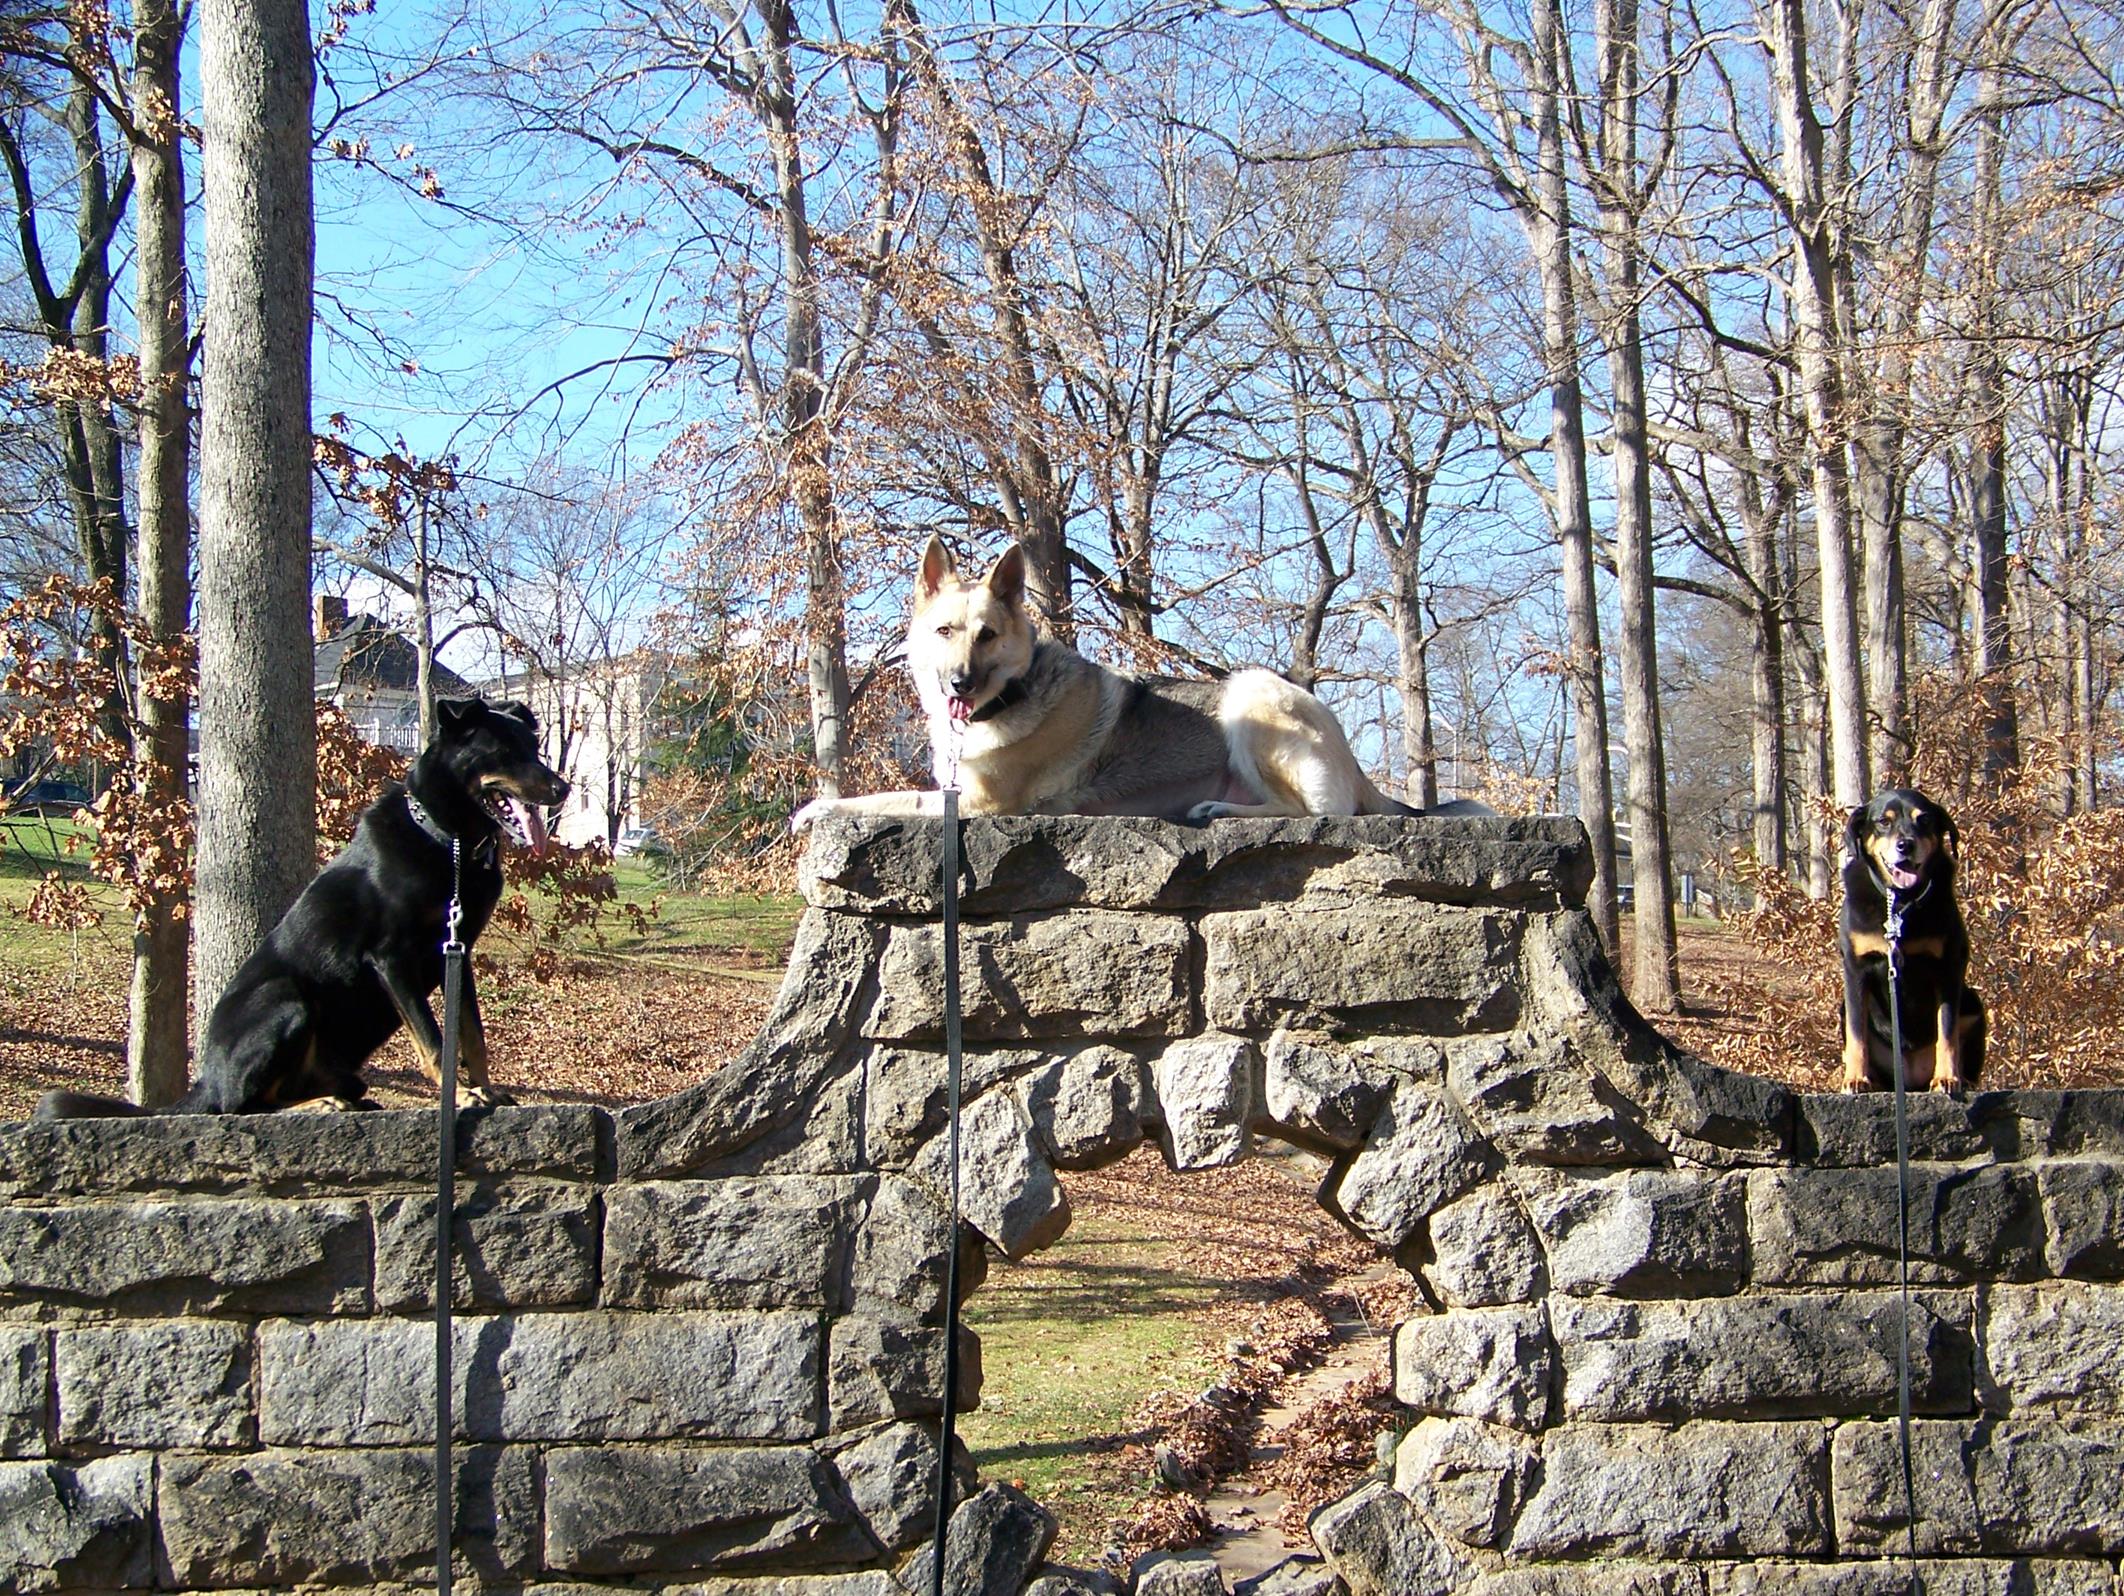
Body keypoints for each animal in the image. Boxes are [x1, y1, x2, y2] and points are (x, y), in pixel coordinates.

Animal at [41, 697, 573, 1122]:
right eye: (504, 752)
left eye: (534, 748)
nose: (562, 788)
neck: (450, 842)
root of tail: (205, 1082)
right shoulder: (393, 956)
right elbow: (433, 1040)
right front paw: (460, 1095)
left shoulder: (456, 953)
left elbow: (471, 1036)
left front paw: (485, 1089)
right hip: (286, 1001)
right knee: (240, 1105)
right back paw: (319, 1104)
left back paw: (345, 1099)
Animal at [790, 539, 1469, 828]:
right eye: (944, 631)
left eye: (987, 635)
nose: (958, 685)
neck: (1008, 697)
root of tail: (1350, 758)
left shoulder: (977, 804)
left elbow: (889, 799)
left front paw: (820, 807)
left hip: (1248, 698)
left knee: (1314, 815)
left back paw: (1218, 809)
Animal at [1843, 790, 1988, 1096]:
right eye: (1883, 822)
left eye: (1924, 819)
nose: (1905, 845)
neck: (1901, 902)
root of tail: (1908, 1078)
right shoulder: (1856, 968)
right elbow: (1856, 1032)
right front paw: (1856, 1078)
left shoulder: (1948, 968)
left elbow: (1947, 1031)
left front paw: (1947, 1078)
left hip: (1973, 1005)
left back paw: (1964, 1080)